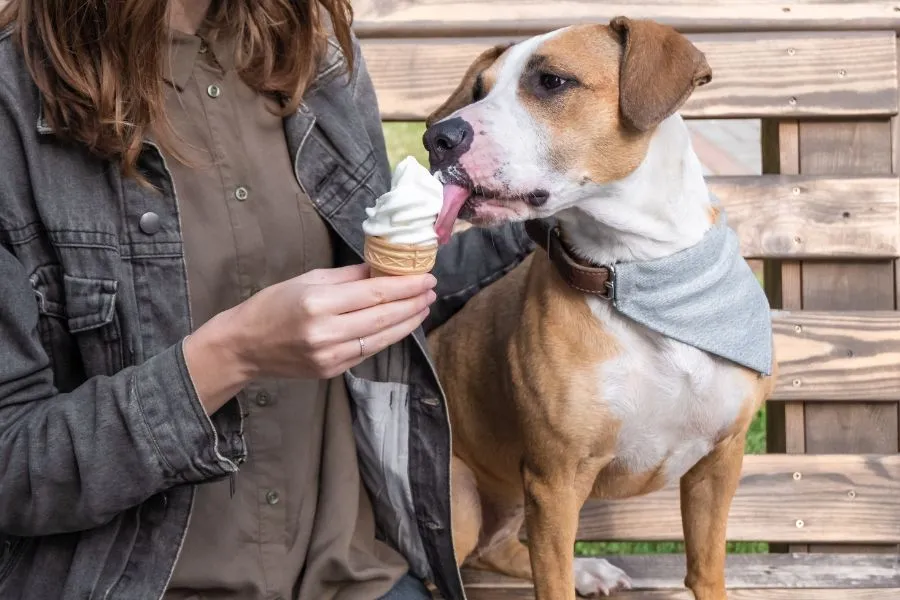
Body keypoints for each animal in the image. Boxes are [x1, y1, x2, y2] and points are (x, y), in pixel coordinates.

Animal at [422, 16, 772, 596]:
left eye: (552, 82)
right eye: (478, 90)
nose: (438, 137)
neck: (639, 275)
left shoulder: (721, 459)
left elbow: (706, 569)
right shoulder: (554, 482)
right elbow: (552, 581)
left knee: (495, 549)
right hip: (464, 499)